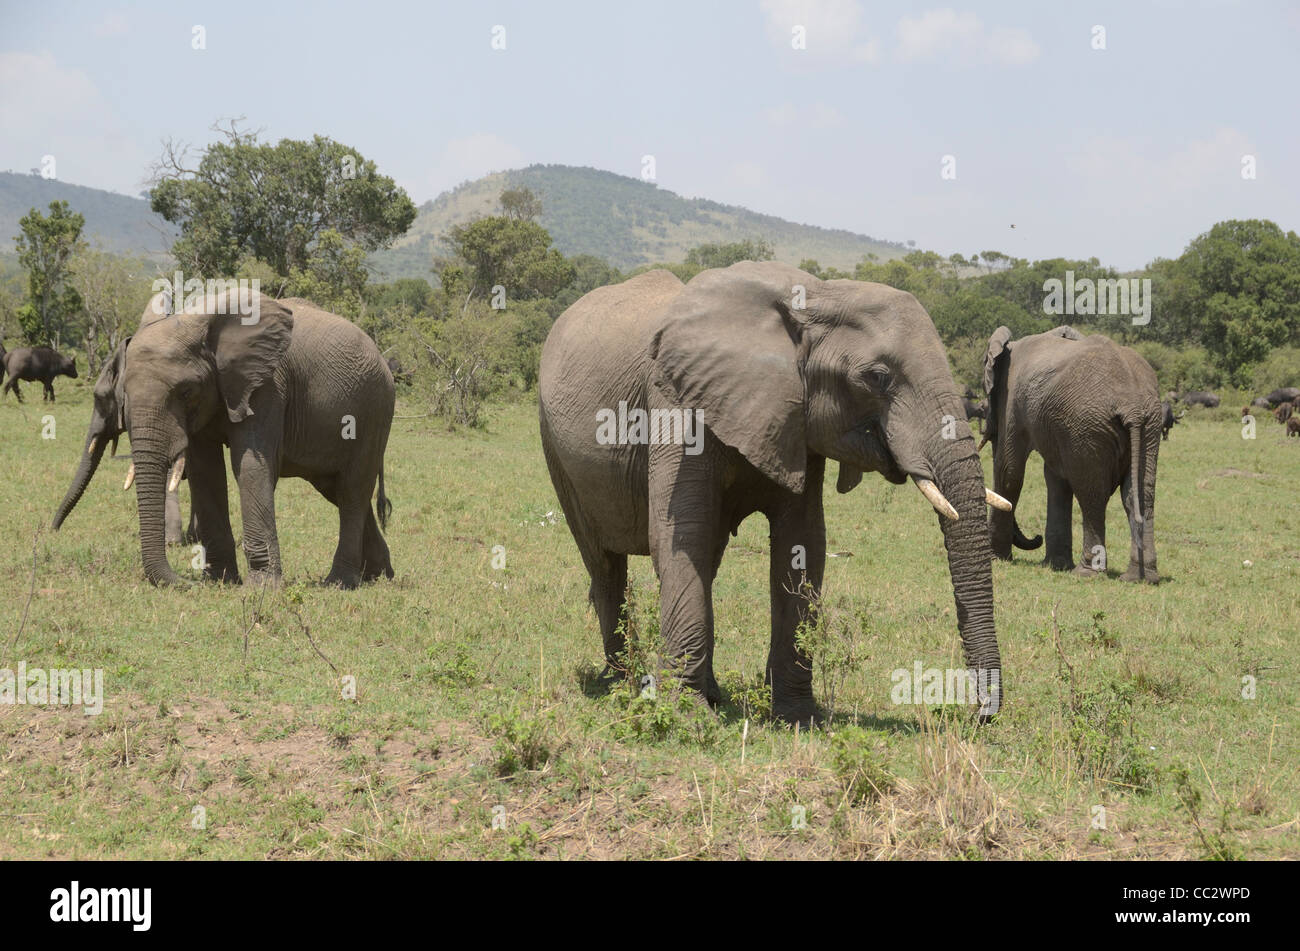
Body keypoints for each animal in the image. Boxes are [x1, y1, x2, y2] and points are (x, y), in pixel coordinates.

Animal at [99, 289, 392, 587]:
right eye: (123, 394)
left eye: (186, 391)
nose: (189, 582)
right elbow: (205, 472)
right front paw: (219, 580)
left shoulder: (268, 384)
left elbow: (250, 465)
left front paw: (261, 586)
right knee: (337, 489)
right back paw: (378, 575)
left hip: (374, 410)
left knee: (352, 490)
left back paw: (339, 582)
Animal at [538, 259, 1003, 722]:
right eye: (877, 377)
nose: (979, 714)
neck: (816, 296)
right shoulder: (674, 402)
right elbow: (681, 534)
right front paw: (688, 716)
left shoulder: (798, 421)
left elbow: (803, 541)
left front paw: (798, 716)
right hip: (554, 446)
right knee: (603, 564)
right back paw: (622, 683)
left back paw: (709, 691)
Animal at [977, 324, 1164, 579]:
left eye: (984, 406)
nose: (1035, 538)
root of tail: (1132, 405)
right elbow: (1055, 479)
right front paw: (1056, 565)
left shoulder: (1012, 399)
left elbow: (1009, 472)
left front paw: (996, 557)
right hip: (1149, 423)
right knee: (1140, 494)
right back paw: (1140, 578)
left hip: (1088, 426)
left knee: (1092, 494)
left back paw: (1086, 573)